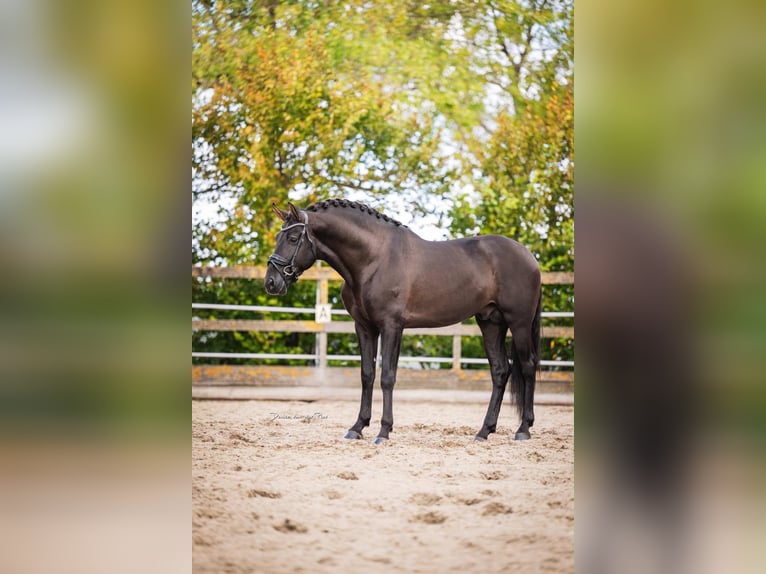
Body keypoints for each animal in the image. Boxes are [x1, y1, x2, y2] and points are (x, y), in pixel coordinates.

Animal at [265, 199, 542, 444]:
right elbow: (367, 375)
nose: (271, 282)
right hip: (491, 323)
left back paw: (523, 429)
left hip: (519, 323)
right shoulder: (364, 327)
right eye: (278, 237)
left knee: (528, 367)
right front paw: (358, 427)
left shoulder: (392, 326)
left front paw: (383, 431)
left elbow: (387, 376)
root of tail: (528, 255)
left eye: (292, 239)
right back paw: (484, 431)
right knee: (500, 371)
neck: (374, 259)